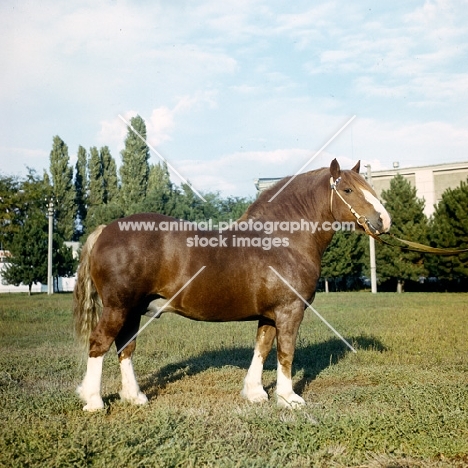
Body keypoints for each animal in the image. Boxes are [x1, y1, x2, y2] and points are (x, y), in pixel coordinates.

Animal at [73, 160, 392, 410]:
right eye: (348, 190)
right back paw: (94, 401)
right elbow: (285, 353)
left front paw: (255, 393)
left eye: (369, 186)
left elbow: (262, 348)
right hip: (118, 307)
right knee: (99, 343)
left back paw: (134, 397)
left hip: (132, 310)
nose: (384, 220)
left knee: (125, 346)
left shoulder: (269, 315)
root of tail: (106, 230)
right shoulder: (289, 312)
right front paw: (288, 398)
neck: (282, 240)